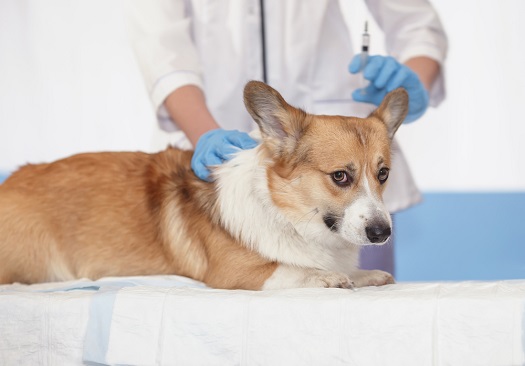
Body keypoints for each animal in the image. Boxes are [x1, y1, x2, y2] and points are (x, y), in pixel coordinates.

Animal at [0, 81, 408, 290]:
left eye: (383, 174)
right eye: (340, 176)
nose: (382, 233)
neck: (286, 213)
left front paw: (364, 274)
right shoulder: (237, 274)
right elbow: (295, 268)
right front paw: (330, 276)